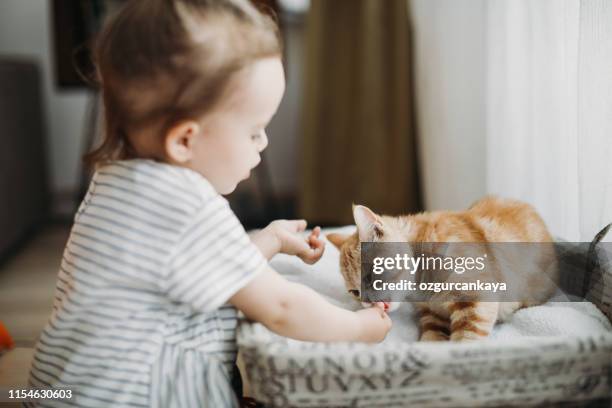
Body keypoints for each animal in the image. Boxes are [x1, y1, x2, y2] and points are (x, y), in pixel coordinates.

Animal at [330, 197, 560, 342]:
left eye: (372, 276)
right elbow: (432, 337)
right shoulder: (432, 315)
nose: (367, 302)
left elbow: (465, 340)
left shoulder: (476, 295)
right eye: (355, 292)